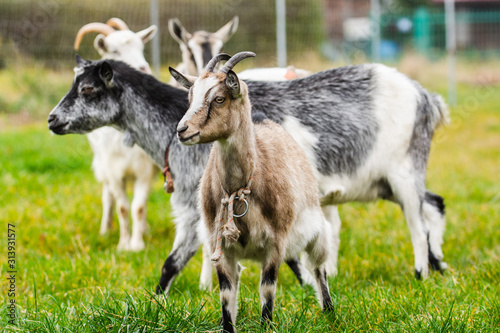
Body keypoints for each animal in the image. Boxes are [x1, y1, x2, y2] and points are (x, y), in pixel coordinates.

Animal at [48, 55, 450, 294]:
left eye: (88, 88)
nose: (52, 119)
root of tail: (426, 97)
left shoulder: (202, 209)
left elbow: (176, 260)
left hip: (403, 170)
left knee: (417, 221)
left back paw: (420, 273)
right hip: (385, 181)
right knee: (434, 205)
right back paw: (440, 266)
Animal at [73, 18, 156, 250]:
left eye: (141, 47)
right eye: (115, 51)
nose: (143, 68)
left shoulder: (144, 169)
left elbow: (138, 207)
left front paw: (137, 244)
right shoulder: (113, 171)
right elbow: (122, 207)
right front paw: (123, 245)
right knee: (107, 198)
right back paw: (105, 230)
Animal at [170, 51, 334, 330]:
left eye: (219, 98)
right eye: (190, 97)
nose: (182, 130)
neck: (239, 189)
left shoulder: (276, 243)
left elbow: (267, 290)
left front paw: (267, 325)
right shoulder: (220, 246)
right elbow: (226, 294)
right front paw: (227, 326)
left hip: (316, 228)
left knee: (318, 266)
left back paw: (329, 311)